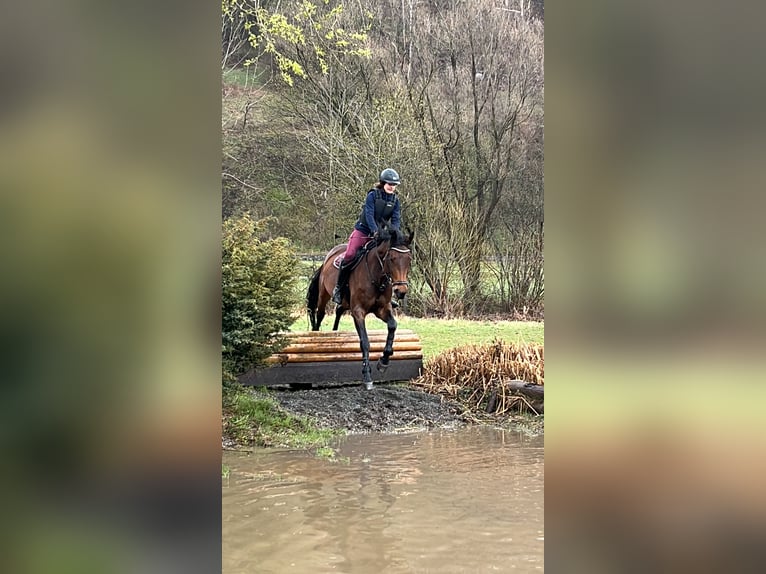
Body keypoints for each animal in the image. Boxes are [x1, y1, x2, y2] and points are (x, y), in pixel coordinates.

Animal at [306, 227, 415, 389]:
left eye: (409, 260)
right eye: (392, 258)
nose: (401, 292)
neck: (377, 276)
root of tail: (328, 256)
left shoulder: (382, 309)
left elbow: (392, 326)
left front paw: (384, 361)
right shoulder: (358, 312)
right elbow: (365, 342)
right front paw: (367, 375)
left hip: (345, 301)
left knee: (339, 310)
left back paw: (335, 331)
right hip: (324, 293)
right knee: (320, 314)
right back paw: (317, 333)